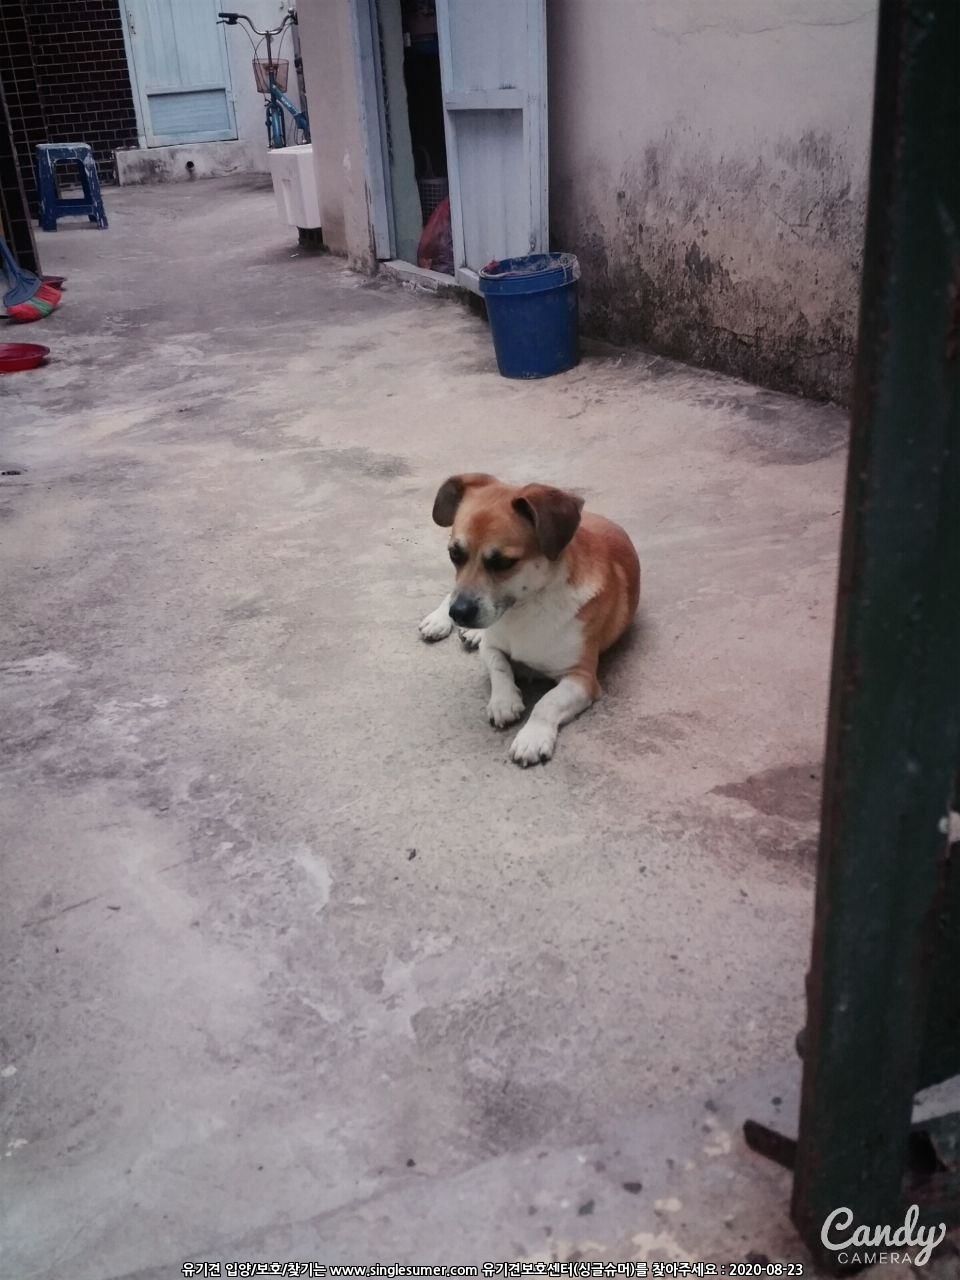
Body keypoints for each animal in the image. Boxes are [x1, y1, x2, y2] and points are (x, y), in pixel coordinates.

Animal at [419, 476, 640, 762]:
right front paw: (504, 701)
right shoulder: (491, 646)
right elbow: (499, 667)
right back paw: (441, 621)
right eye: (454, 554)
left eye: (502, 563)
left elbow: (548, 702)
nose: (458, 613)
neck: (524, 608)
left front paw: (532, 736)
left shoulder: (582, 678)